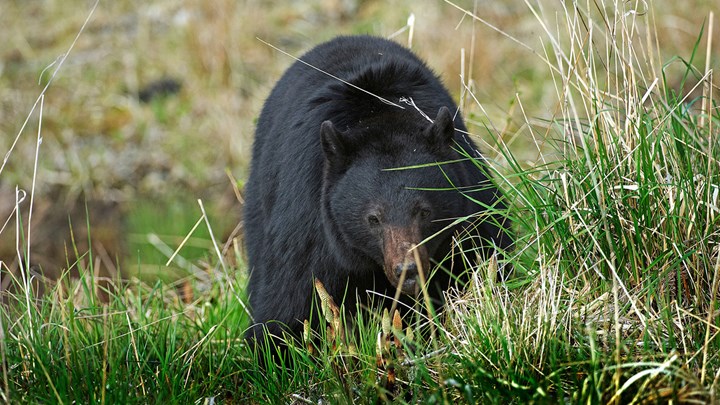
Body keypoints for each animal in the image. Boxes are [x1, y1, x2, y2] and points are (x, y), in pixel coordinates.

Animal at [243, 34, 512, 344]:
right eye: (373, 218)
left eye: (424, 211)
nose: (408, 270)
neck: (378, 116)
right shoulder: (309, 222)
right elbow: (288, 302)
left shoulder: (471, 208)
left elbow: (486, 255)